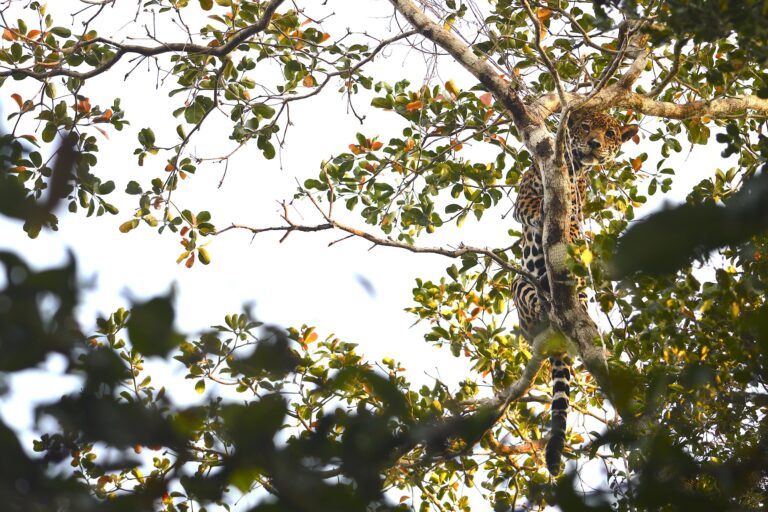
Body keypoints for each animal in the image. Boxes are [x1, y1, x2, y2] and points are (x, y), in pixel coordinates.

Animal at [511, 110, 639, 476]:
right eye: (585, 127)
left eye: (610, 135)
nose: (595, 144)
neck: (571, 167)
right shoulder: (526, 193)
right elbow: (533, 206)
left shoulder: (577, 208)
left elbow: (574, 226)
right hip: (519, 288)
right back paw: (544, 300)